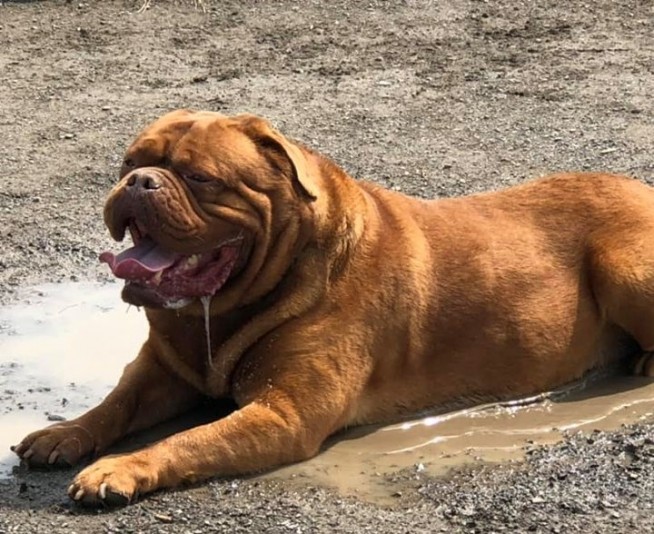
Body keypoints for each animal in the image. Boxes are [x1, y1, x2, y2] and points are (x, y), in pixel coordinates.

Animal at [12, 109, 654, 506]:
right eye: (128, 162)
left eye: (199, 177)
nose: (140, 181)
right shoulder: (161, 370)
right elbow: (114, 405)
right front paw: (65, 433)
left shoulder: (284, 414)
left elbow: (187, 441)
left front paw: (120, 468)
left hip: (622, 264)